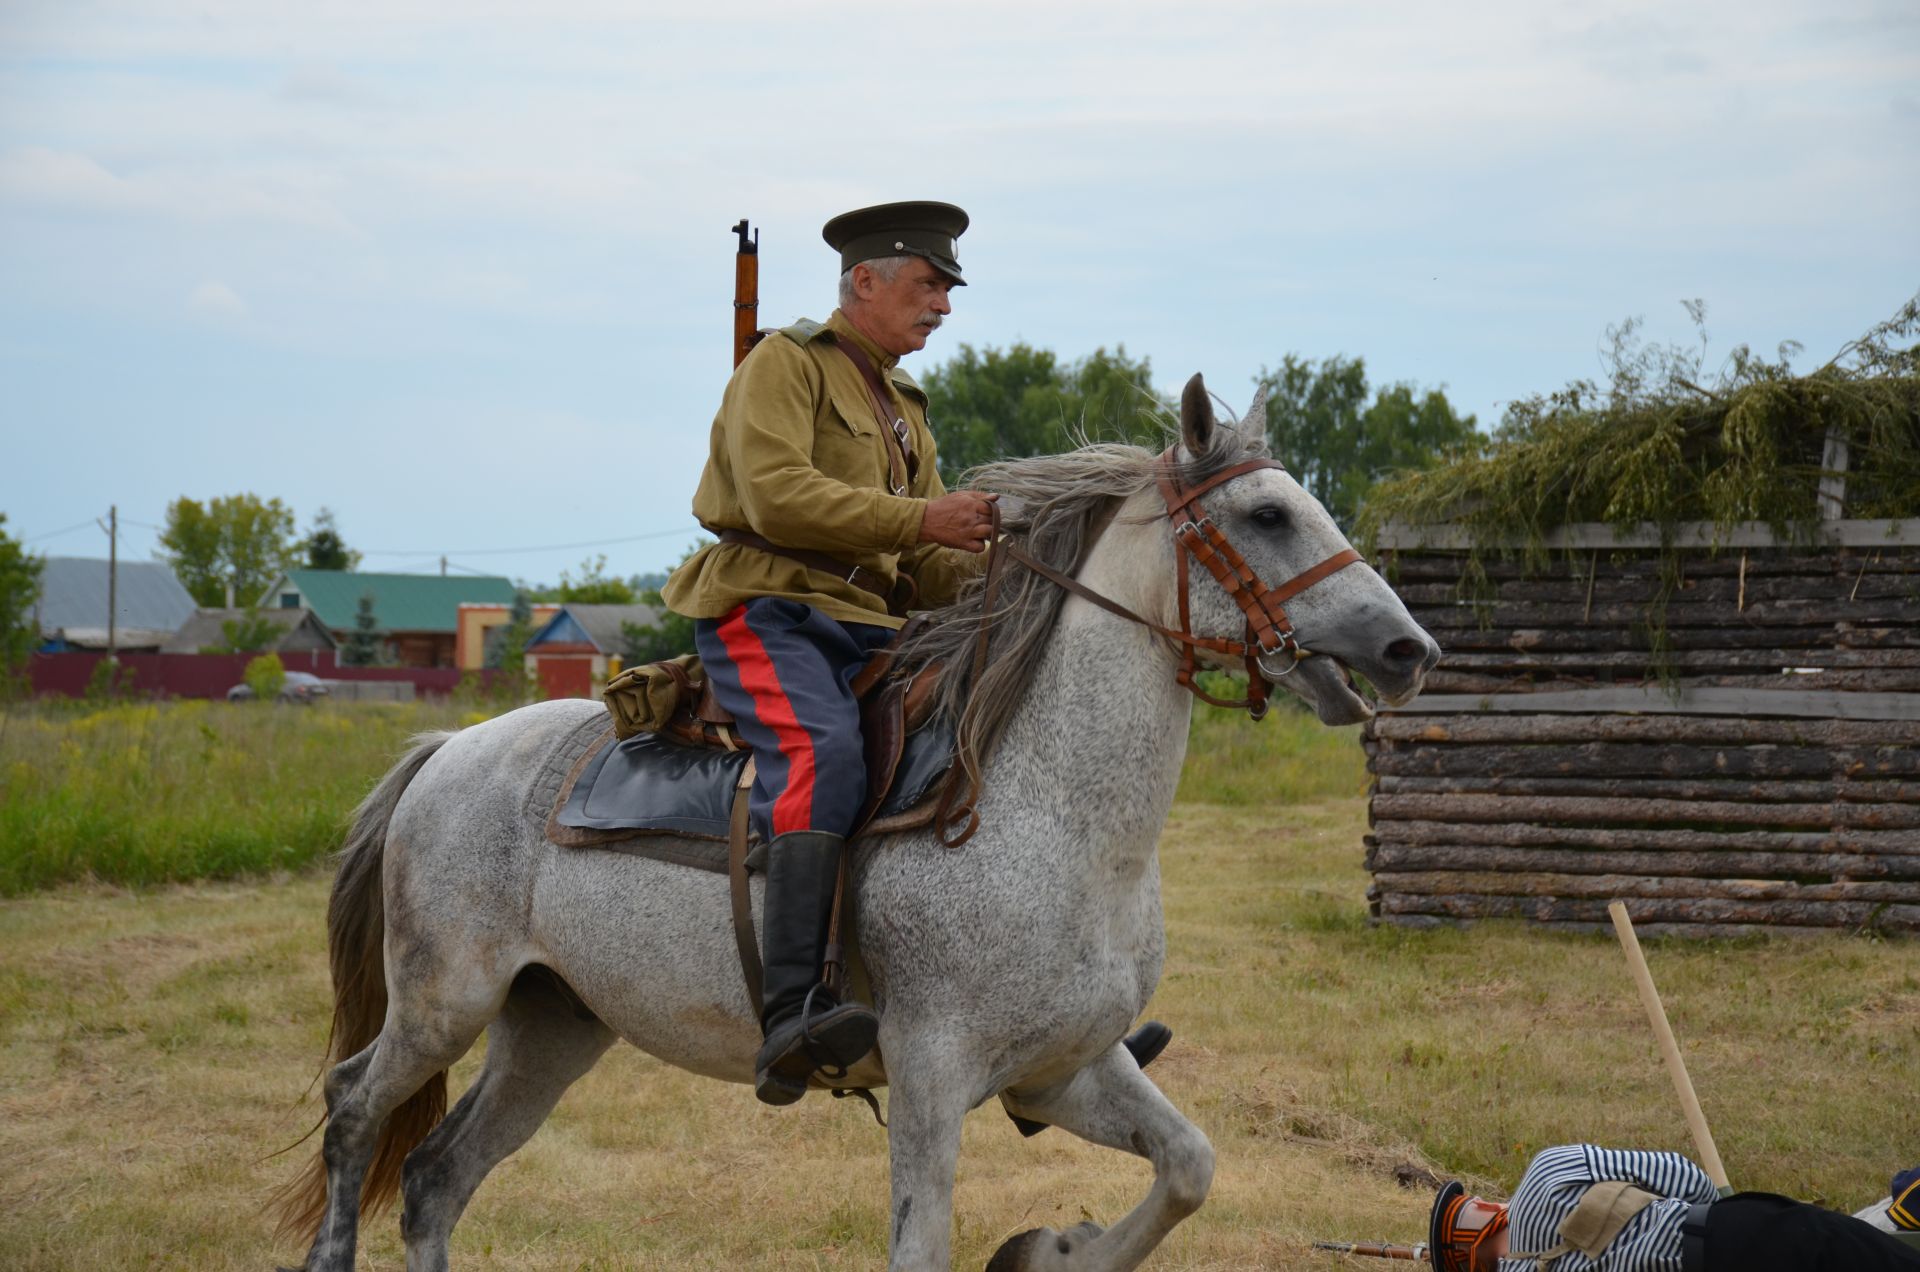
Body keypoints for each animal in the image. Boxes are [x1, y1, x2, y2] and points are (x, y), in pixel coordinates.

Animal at [270, 380, 1443, 1272]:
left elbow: (1189, 1166)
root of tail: (446, 753)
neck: (1056, 818)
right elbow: (922, 1250)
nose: (1408, 649)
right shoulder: (932, 1081)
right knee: (353, 1109)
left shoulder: (1065, 1067)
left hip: (553, 1027)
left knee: (436, 1179)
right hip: (443, 1005)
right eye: (1266, 517)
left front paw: (1050, 1251)